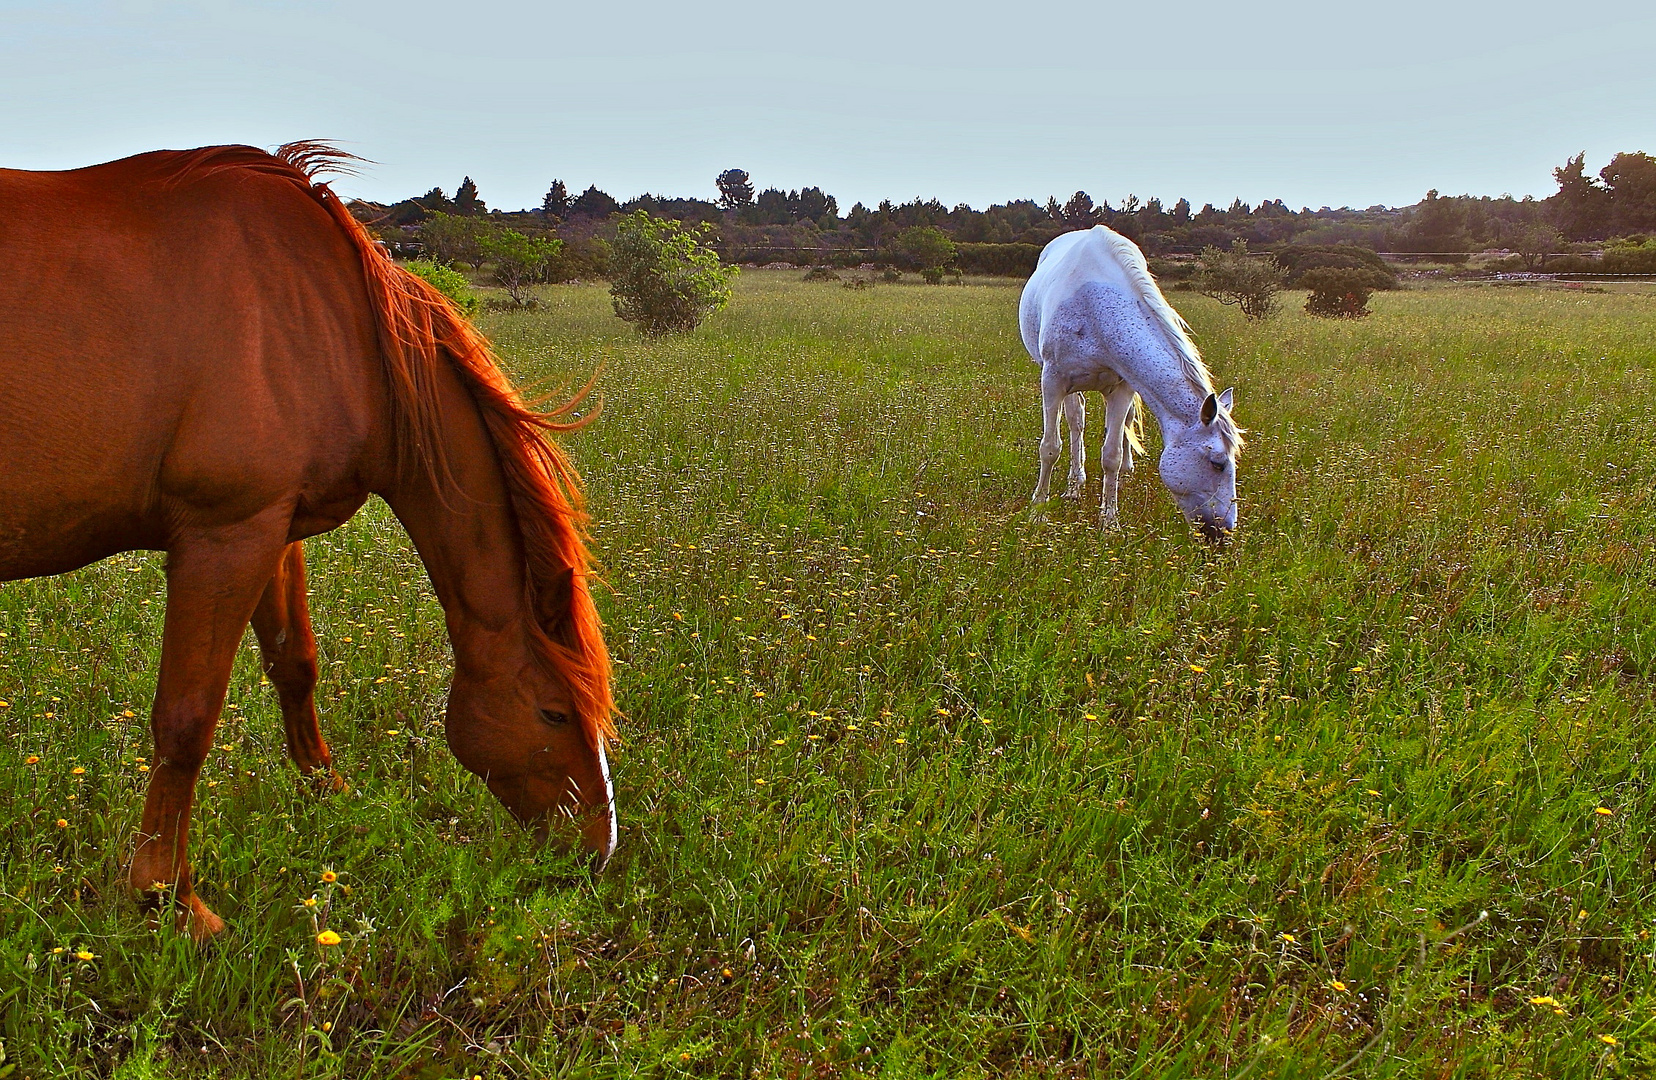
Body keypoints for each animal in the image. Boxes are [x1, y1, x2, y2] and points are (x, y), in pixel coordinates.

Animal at [0, 143, 619, 934]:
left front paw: (333, 797)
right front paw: (169, 897)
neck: (332, 321)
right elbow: (185, 722)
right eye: (554, 712)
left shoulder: (271, 529)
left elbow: (296, 666)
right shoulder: (225, 536)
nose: (595, 854)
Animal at [1020, 225, 1245, 536]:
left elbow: (1111, 455)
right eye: (1218, 463)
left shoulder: (1122, 388)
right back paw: (1074, 485)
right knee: (1076, 422)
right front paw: (1038, 510)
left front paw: (1109, 521)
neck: (1095, 309)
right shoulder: (1053, 381)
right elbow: (1050, 448)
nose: (1225, 532)